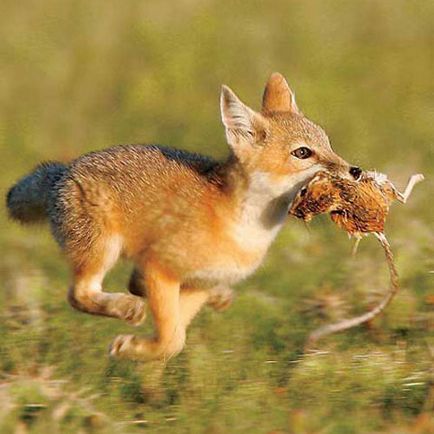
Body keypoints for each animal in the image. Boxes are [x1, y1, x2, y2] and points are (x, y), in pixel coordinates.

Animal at [5, 73, 360, 362]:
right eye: (303, 153)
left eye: (328, 144)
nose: (355, 171)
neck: (242, 230)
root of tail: (64, 169)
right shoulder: (160, 269)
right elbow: (172, 340)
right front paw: (134, 348)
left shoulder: (199, 283)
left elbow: (177, 336)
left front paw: (140, 349)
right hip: (100, 252)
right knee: (79, 294)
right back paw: (125, 306)